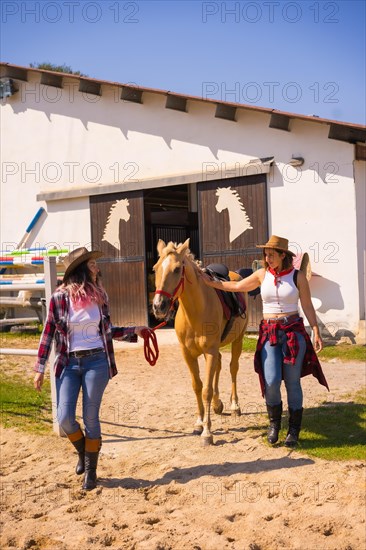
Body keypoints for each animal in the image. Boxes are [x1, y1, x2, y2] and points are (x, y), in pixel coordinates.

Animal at [152, 239, 249, 446]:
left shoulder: (209, 351)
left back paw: (234, 406)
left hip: (238, 340)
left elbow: (206, 390)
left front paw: (207, 432)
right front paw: (199, 423)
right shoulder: (188, 354)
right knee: (219, 366)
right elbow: (197, 386)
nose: (158, 306)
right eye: (155, 268)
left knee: (233, 368)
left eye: (177, 269)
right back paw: (218, 405)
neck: (195, 311)